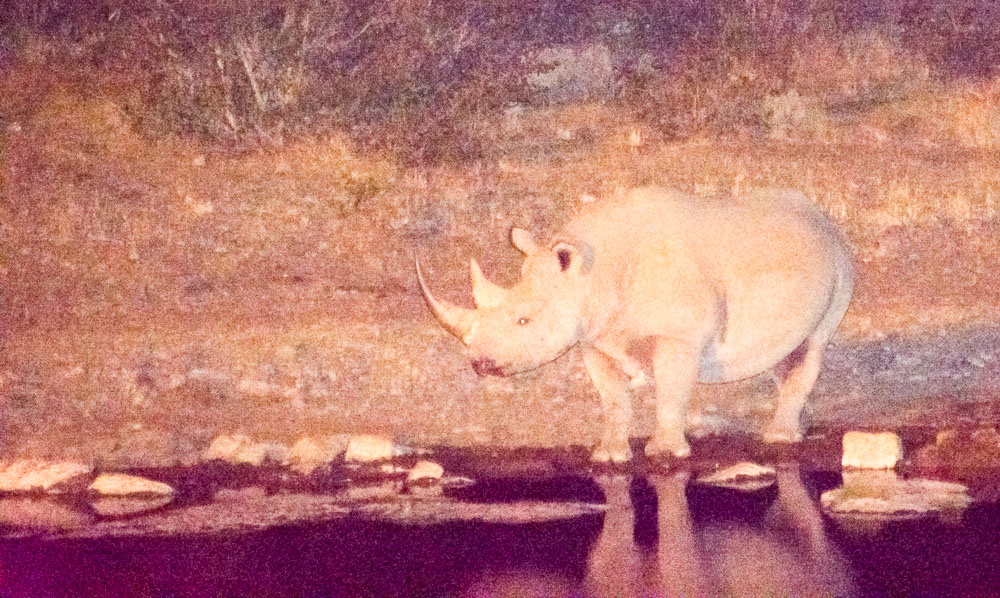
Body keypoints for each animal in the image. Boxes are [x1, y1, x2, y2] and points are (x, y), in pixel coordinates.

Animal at [417, 186, 853, 462]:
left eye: (523, 320)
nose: (479, 364)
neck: (593, 272)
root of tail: (821, 216)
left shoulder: (678, 334)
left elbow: (672, 389)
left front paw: (665, 454)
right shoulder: (594, 336)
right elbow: (613, 398)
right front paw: (609, 456)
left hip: (840, 258)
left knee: (816, 342)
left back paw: (778, 439)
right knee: (788, 352)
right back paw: (795, 429)